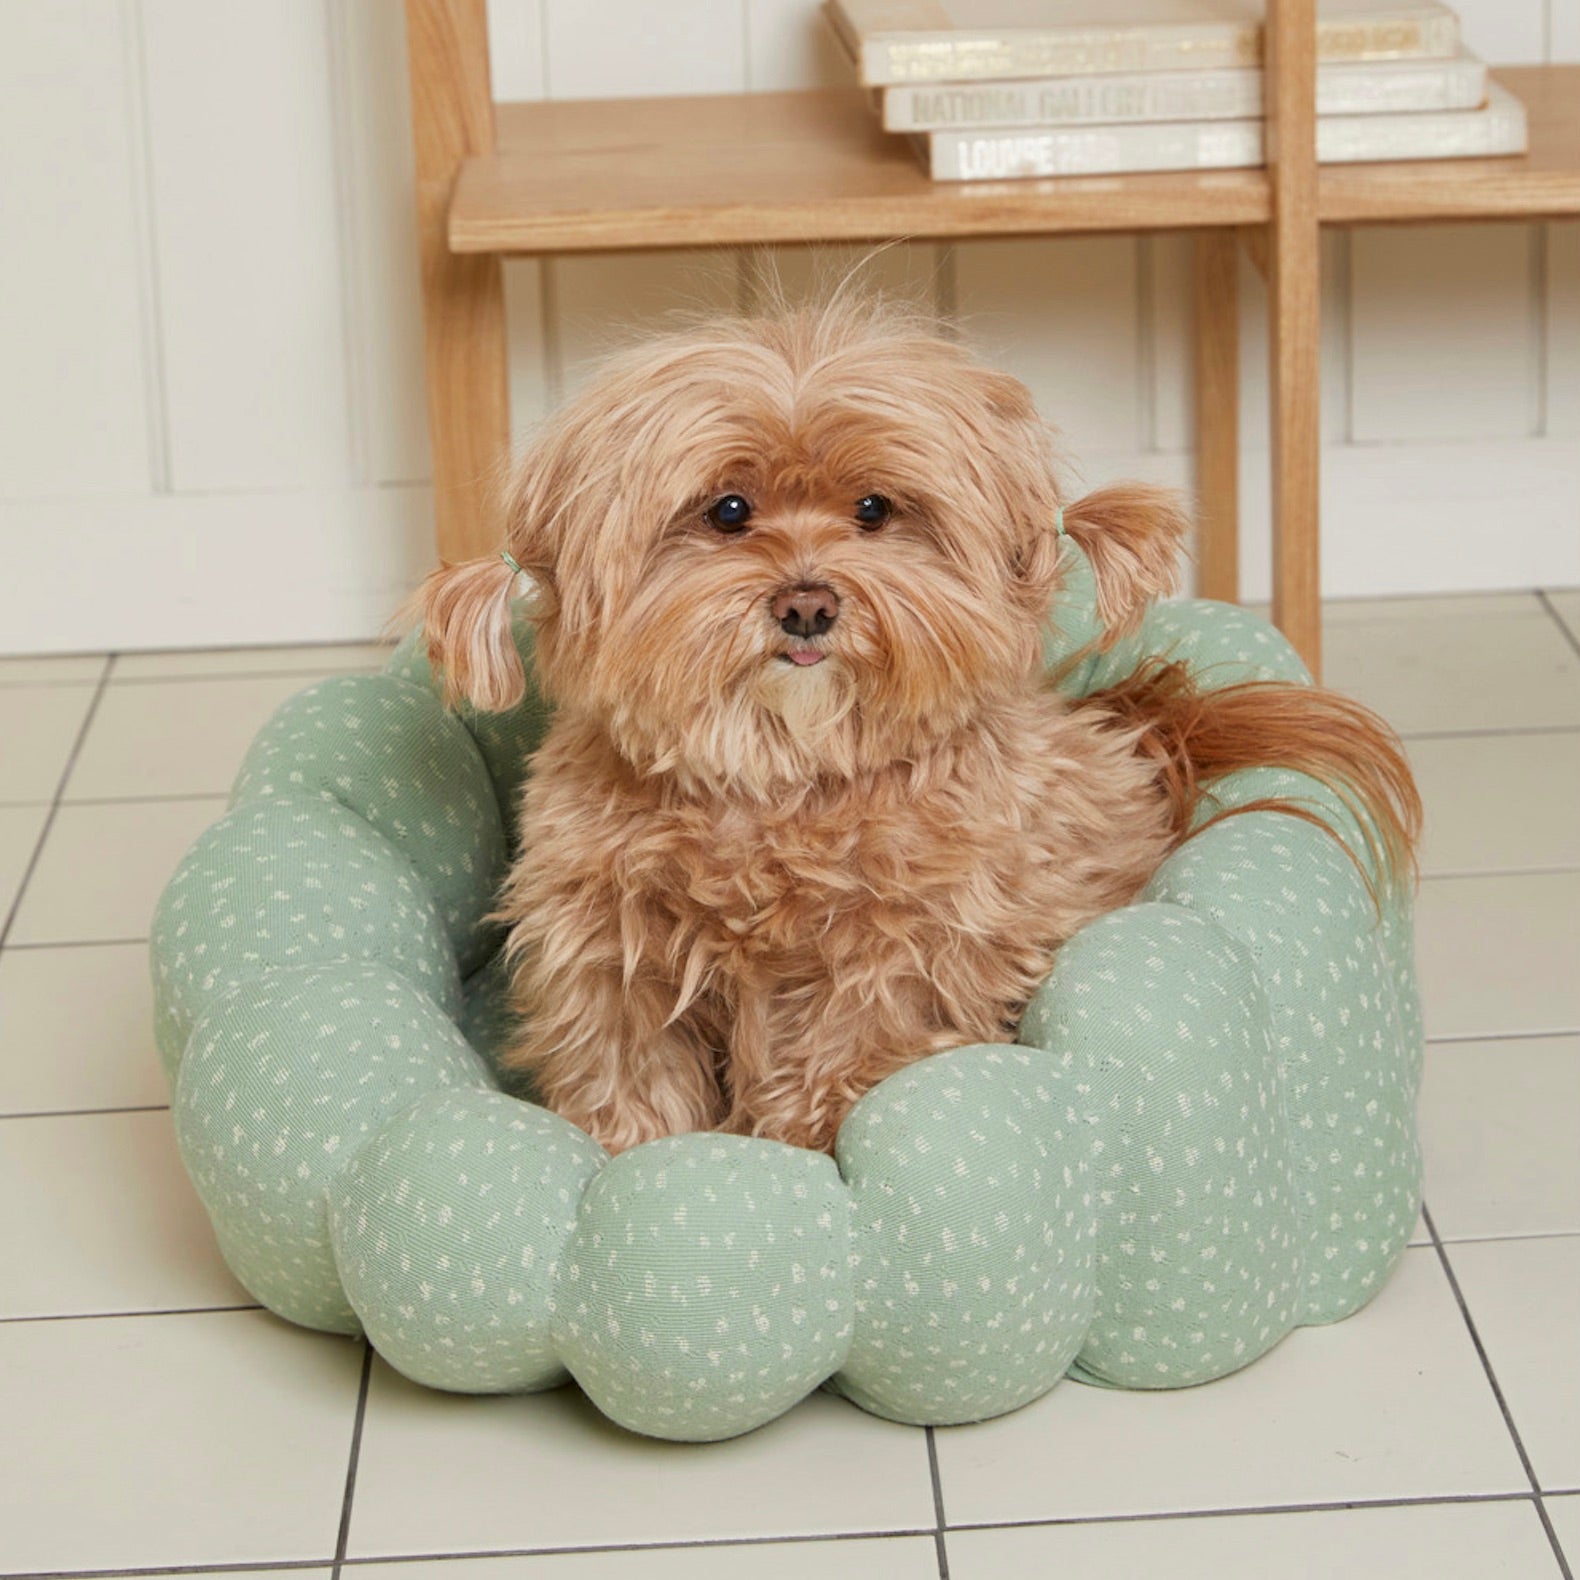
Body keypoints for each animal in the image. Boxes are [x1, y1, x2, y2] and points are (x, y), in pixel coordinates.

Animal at [414, 297, 1420, 1157]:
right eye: (728, 511)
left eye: (874, 510)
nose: (808, 605)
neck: (786, 773)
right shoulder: (606, 956)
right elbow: (627, 1079)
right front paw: (632, 1156)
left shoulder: (907, 956)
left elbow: (843, 1058)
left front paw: (802, 1146)